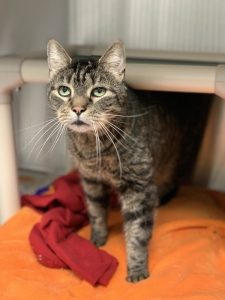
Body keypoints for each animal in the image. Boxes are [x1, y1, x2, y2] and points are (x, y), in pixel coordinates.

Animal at [46, 39, 210, 282]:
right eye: (64, 90)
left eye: (99, 91)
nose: (77, 108)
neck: (95, 148)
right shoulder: (90, 180)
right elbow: (95, 211)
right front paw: (97, 238)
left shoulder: (139, 187)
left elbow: (138, 231)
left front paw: (137, 268)